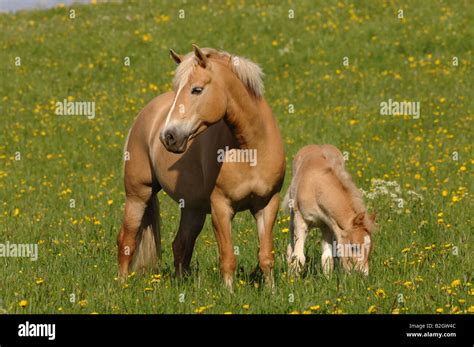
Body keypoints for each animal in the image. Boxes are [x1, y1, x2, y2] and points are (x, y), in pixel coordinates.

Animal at [118, 44, 286, 290]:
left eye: (196, 90)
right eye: (177, 89)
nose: (168, 137)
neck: (250, 151)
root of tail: (144, 116)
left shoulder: (267, 204)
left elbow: (266, 256)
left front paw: (271, 292)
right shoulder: (221, 208)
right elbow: (228, 258)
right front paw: (229, 293)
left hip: (192, 208)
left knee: (181, 245)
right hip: (138, 195)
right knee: (126, 241)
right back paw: (121, 285)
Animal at [284, 145, 376, 276]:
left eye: (370, 248)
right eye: (354, 247)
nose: (363, 275)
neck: (316, 189)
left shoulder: (328, 224)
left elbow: (327, 258)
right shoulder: (300, 220)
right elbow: (298, 257)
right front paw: (293, 280)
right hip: (293, 216)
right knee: (290, 247)